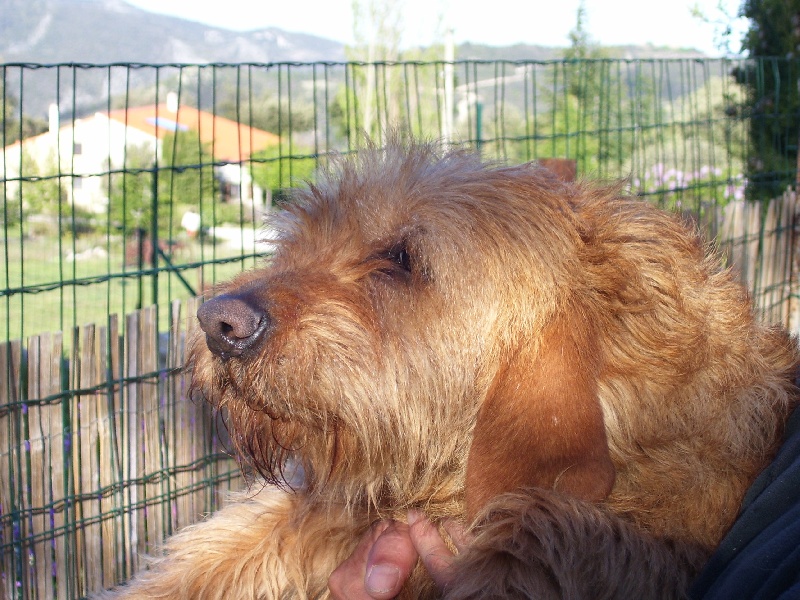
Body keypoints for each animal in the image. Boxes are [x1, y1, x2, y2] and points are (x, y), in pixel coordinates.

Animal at [105, 139, 799, 599]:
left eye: (403, 260)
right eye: (300, 239)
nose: (216, 323)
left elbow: (537, 530)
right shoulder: (357, 496)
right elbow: (225, 541)